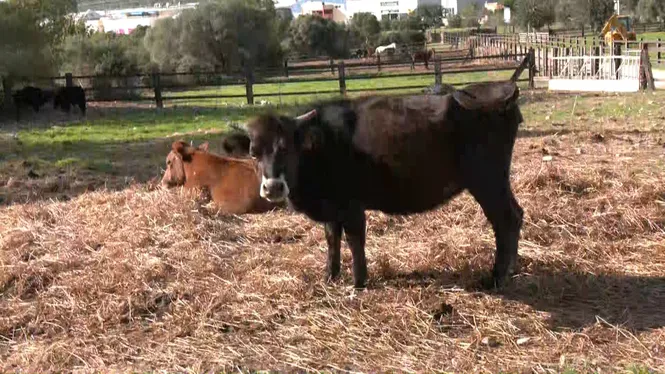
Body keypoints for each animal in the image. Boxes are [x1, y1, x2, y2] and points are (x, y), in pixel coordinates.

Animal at [248, 81, 524, 290]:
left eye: (287, 148)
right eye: (254, 152)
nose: (273, 187)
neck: (322, 142)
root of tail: (503, 89)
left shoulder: (352, 206)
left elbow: (354, 241)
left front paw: (359, 283)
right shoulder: (332, 208)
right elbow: (331, 239)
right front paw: (330, 276)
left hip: (487, 181)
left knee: (505, 219)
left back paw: (496, 277)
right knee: (516, 214)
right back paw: (512, 269)